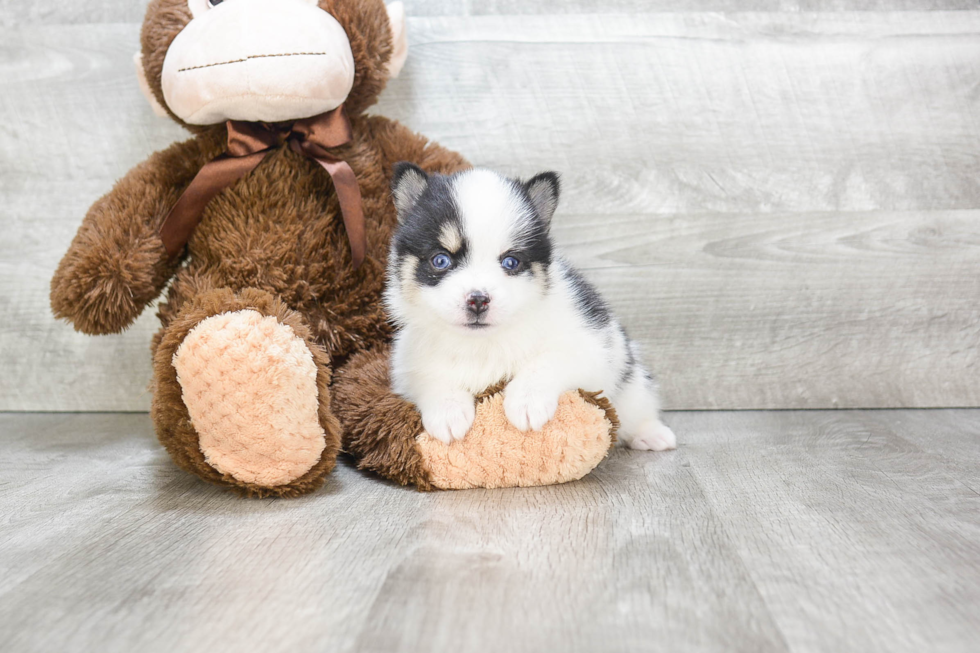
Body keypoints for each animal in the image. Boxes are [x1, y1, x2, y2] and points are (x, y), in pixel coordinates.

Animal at [380, 163, 672, 450]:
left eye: (511, 262)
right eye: (440, 260)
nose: (478, 299)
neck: (482, 344)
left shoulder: (588, 346)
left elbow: (546, 362)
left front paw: (527, 401)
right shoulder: (409, 363)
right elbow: (432, 378)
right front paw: (447, 411)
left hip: (629, 380)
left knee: (637, 407)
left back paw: (651, 433)